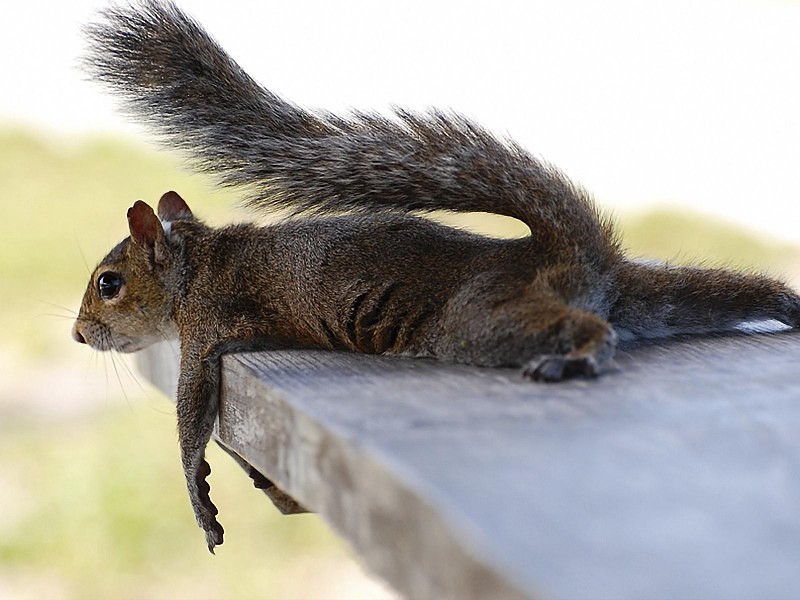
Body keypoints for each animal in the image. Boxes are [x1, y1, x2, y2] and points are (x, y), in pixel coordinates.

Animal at [73, 0, 800, 552]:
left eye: (108, 283)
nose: (79, 336)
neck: (195, 263)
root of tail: (567, 255)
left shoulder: (206, 327)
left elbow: (192, 415)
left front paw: (199, 498)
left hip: (477, 319)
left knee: (579, 326)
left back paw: (580, 354)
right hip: (649, 295)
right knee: (708, 296)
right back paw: (783, 304)